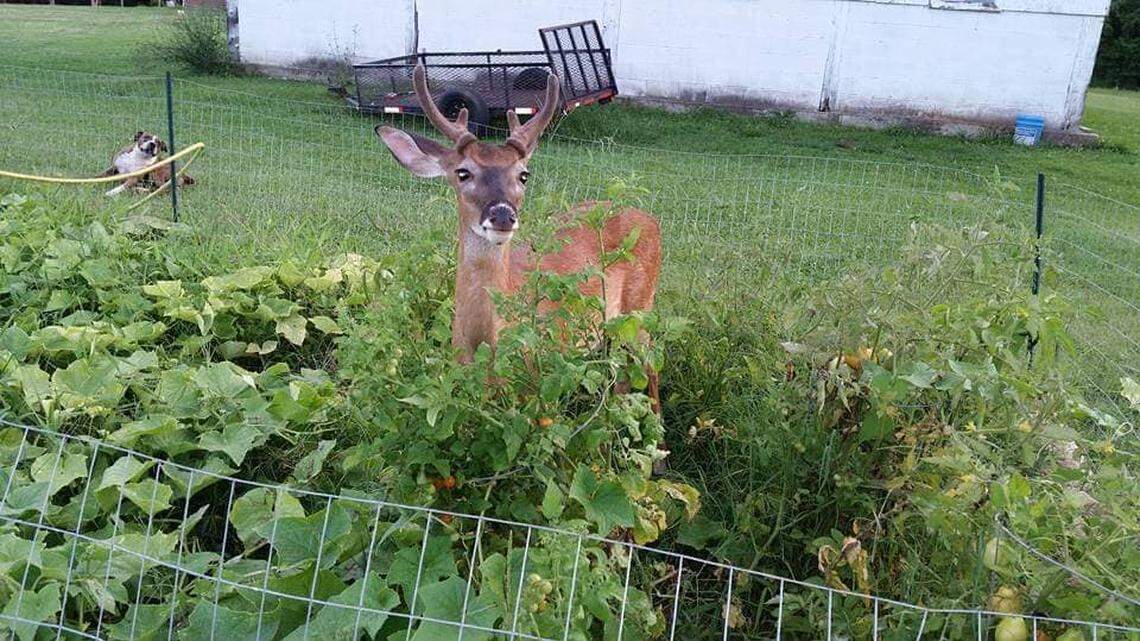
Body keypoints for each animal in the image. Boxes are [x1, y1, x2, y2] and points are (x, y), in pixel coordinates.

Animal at [374, 64, 663, 414]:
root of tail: (650, 218)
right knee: (621, 379)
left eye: (523, 175)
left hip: (641, 307)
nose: (502, 215)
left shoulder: (540, 385)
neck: (483, 346)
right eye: (462, 172)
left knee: (651, 370)